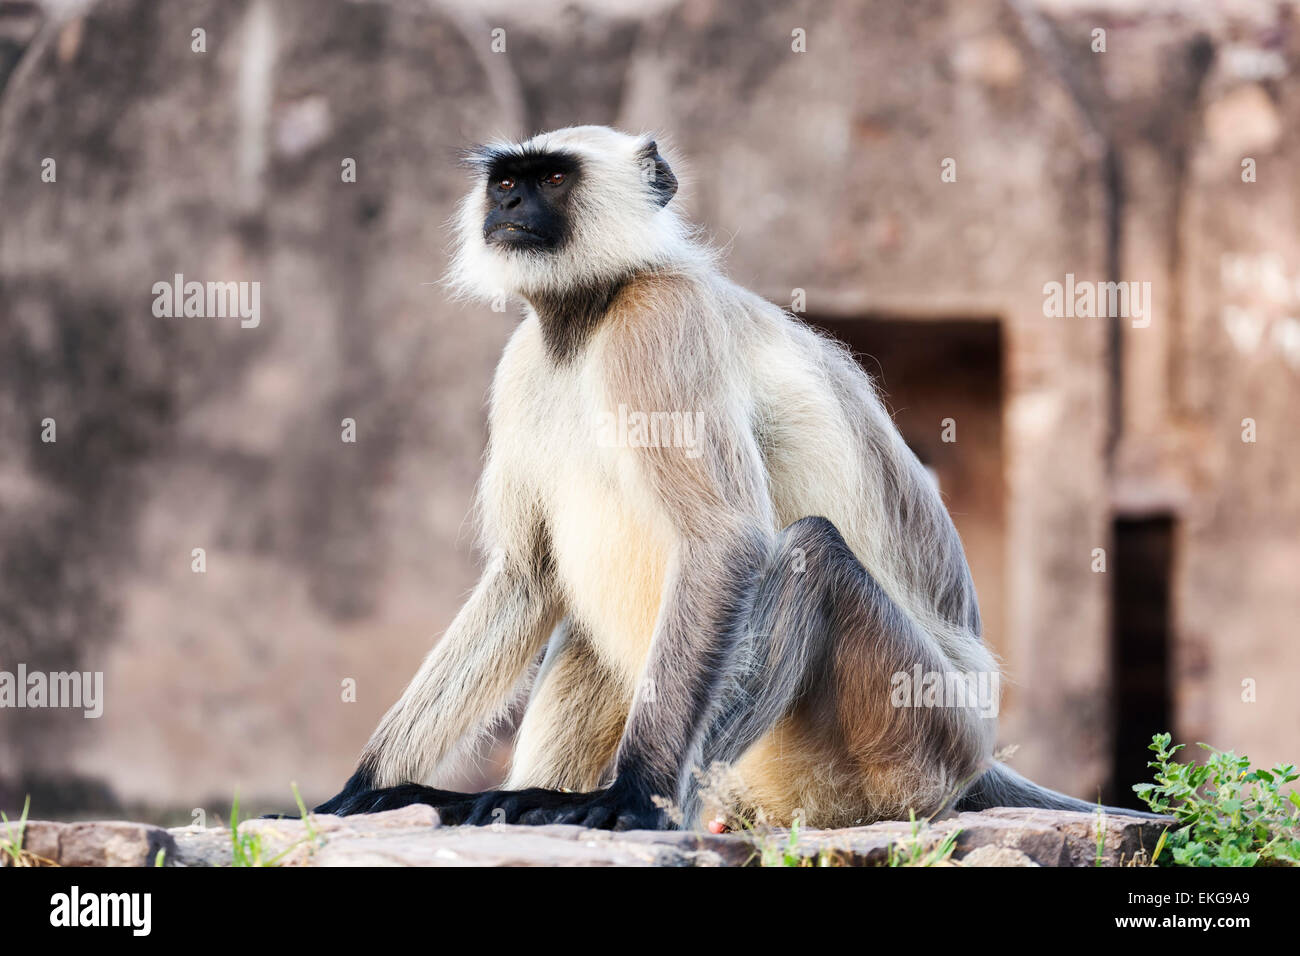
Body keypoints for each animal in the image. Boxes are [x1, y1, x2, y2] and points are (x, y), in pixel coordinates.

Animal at [310, 125, 1152, 830]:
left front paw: (630, 796)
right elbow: (527, 573)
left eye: (551, 177)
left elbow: (725, 540)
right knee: (590, 632)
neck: (589, 316)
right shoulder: (524, 364)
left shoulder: (661, 318)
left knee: (809, 554)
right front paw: (364, 786)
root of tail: (977, 752)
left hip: (918, 733)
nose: (509, 206)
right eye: (505, 181)